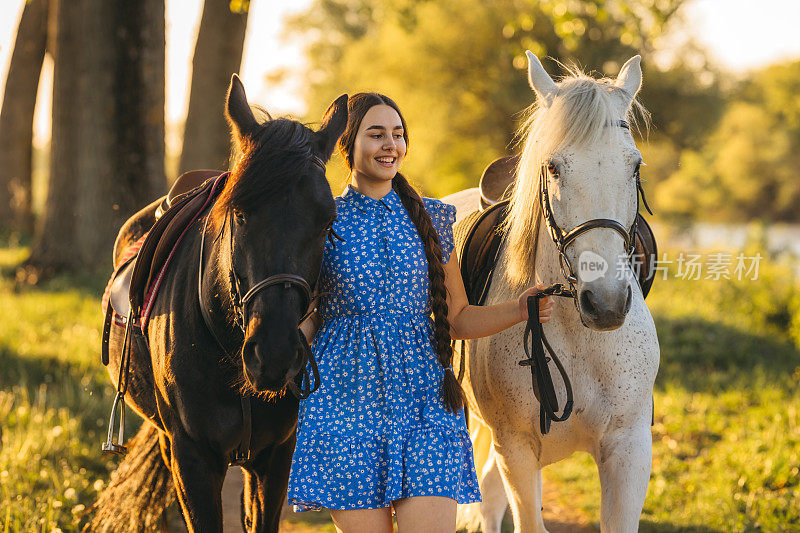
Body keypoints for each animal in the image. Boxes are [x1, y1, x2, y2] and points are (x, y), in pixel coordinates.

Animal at [446, 51, 660, 532]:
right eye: (553, 168)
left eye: (635, 166)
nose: (606, 304)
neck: (580, 336)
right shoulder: (516, 449)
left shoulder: (629, 448)